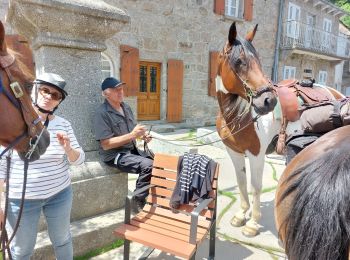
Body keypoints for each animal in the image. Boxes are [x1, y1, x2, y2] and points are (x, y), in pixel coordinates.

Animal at [215, 22, 344, 237]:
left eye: (258, 61)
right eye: (239, 61)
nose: (268, 101)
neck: (239, 115)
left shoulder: (256, 155)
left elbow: (255, 186)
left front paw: (252, 224)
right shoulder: (234, 152)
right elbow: (241, 183)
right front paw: (241, 215)